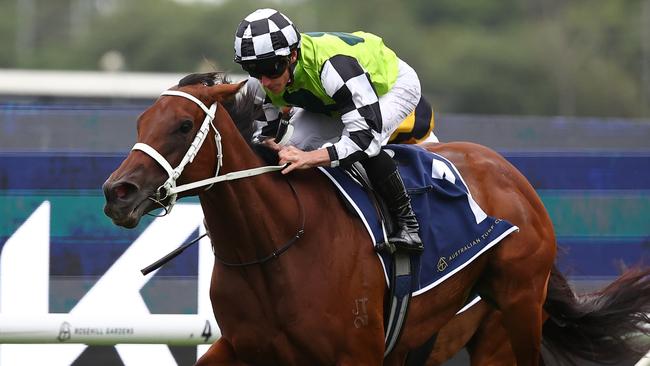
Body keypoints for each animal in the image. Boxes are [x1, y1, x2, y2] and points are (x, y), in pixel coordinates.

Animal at [104, 73, 644, 364]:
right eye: (140, 123)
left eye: (183, 125)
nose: (116, 193)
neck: (274, 247)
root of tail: (514, 178)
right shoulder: (242, 348)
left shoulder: (357, 355)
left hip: (513, 316)